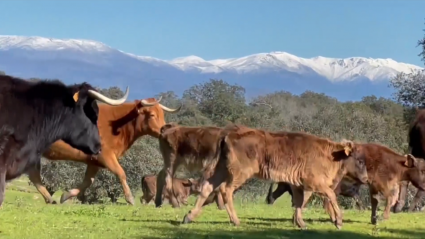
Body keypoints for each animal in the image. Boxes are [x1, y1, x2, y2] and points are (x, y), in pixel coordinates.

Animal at [26, 96, 179, 204]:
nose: (166, 129)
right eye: (152, 115)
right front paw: (129, 198)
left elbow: (88, 181)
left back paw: (49, 198)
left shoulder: (94, 161)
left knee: (33, 174)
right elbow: (121, 173)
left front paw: (66, 195)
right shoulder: (106, 155)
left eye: (162, 114)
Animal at [181, 123, 366, 230]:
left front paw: (300, 223)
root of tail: (229, 134)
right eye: (359, 160)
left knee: (207, 187)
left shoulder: (299, 185)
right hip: (239, 173)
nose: (365, 178)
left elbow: (299, 202)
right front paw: (338, 221)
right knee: (226, 190)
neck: (332, 154)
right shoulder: (315, 183)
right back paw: (236, 221)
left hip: (221, 169)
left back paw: (188, 217)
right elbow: (330, 196)